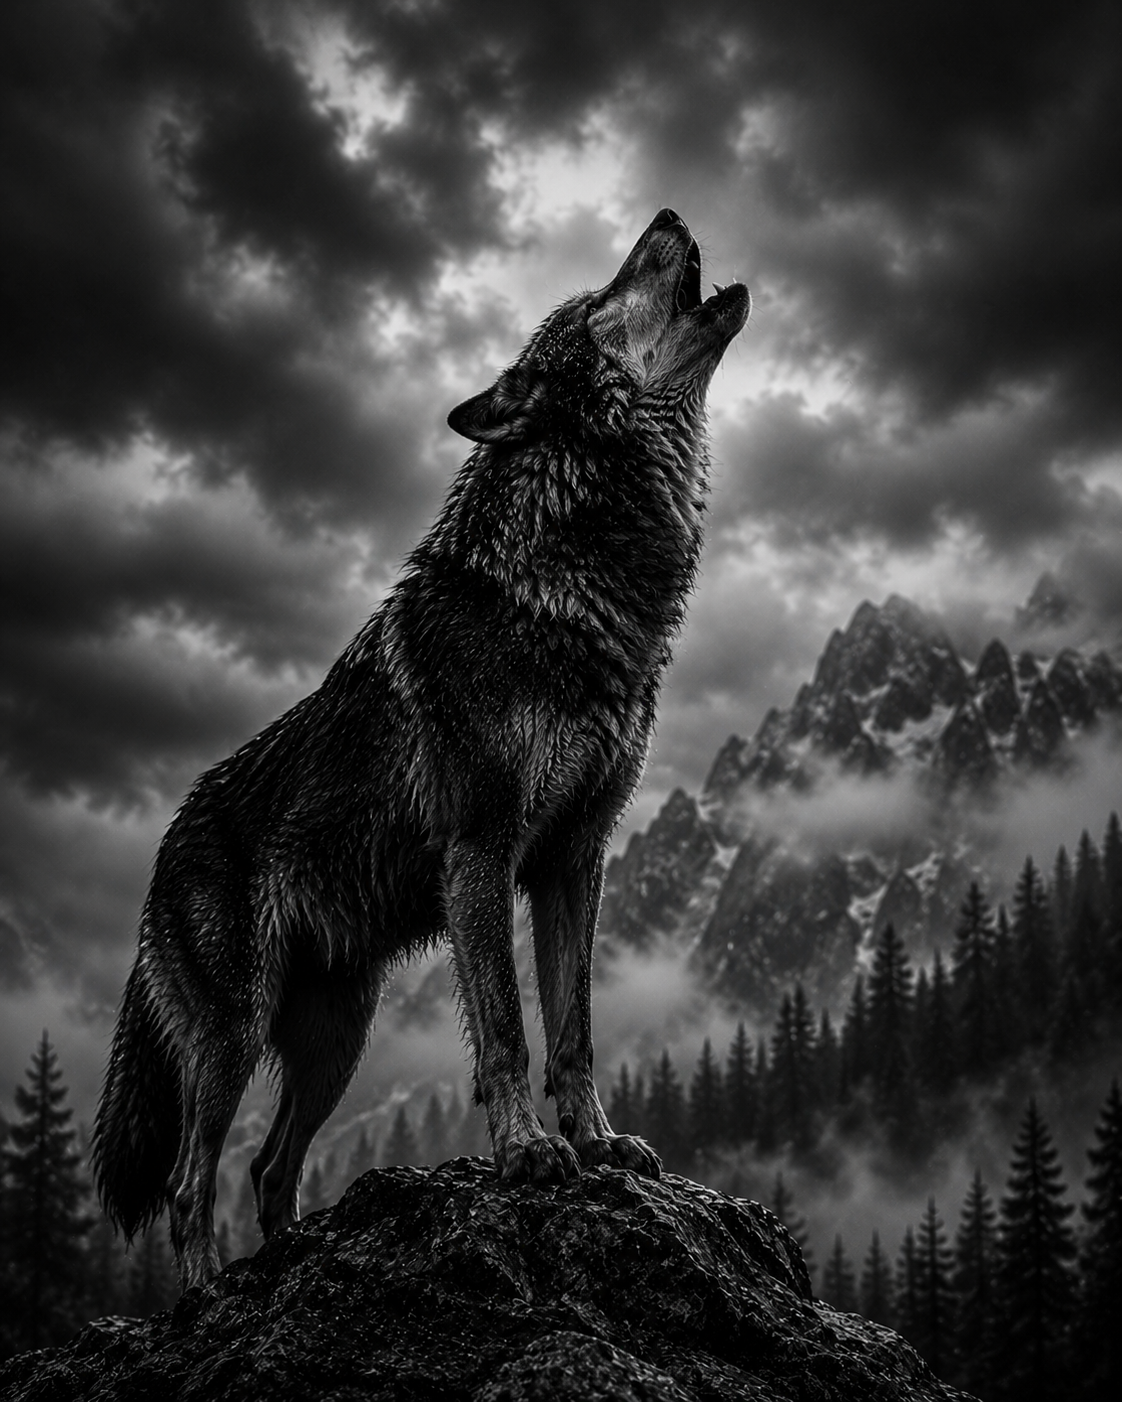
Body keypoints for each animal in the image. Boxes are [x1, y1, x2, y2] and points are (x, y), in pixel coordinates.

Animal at [92, 209, 750, 1288]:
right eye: (602, 295)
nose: (667, 216)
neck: (574, 589)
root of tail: (164, 844)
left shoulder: (573, 858)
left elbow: (575, 1028)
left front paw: (599, 1143)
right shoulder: (482, 851)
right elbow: (509, 1033)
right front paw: (528, 1153)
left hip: (335, 1038)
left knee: (270, 1167)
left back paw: (298, 1260)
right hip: (234, 1035)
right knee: (192, 1183)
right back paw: (207, 1298)